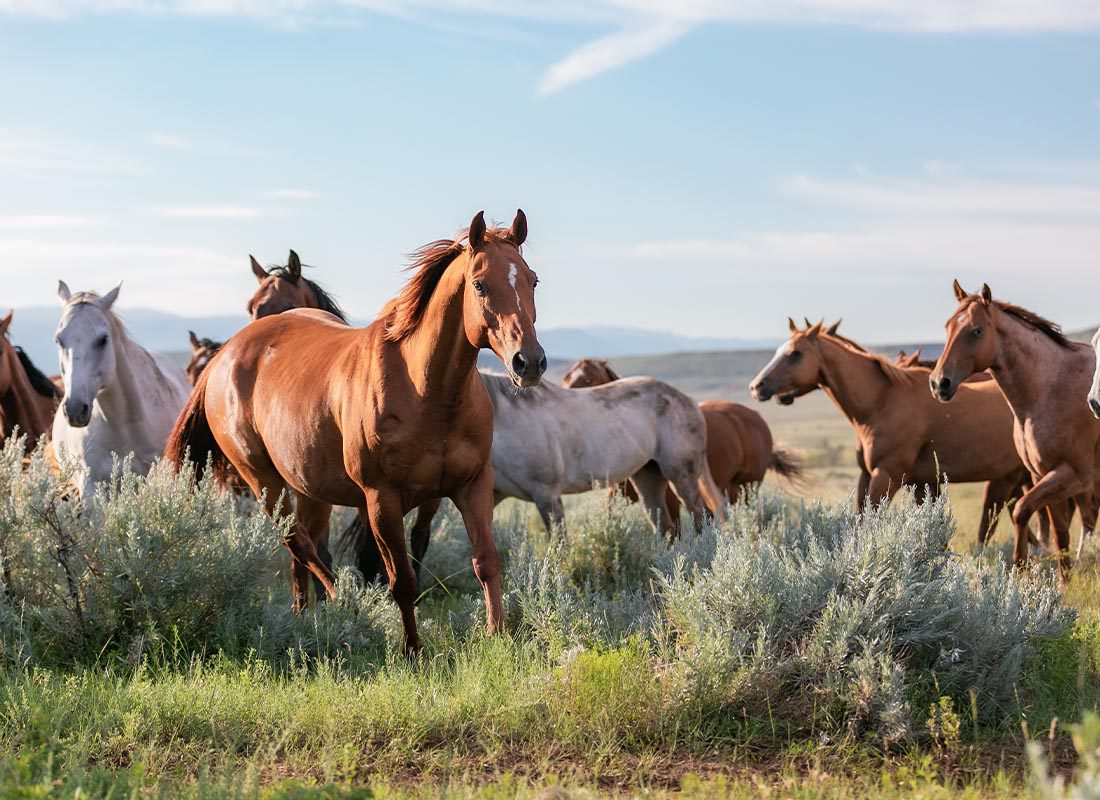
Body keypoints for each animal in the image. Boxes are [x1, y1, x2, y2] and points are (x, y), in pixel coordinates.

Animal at [166, 210, 545, 655]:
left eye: (532, 279)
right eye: (480, 284)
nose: (529, 362)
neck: (427, 390)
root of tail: (224, 355)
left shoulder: (471, 484)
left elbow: (485, 560)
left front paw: (499, 635)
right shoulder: (381, 499)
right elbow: (400, 579)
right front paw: (413, 651)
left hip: (310, 490)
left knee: (301, 550)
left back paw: (304, 617)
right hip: (263, 481)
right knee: (298, 542)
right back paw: (349, 607)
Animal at [928, 283, 1100, 581]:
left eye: (977, 330)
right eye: (948, 326)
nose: (940, 383)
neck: (1048, 389)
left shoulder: (1072, 476)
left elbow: (1022, 510)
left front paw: (1020, 565)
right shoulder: (1043, 475)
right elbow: (1060, 534)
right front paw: (1064, 582)